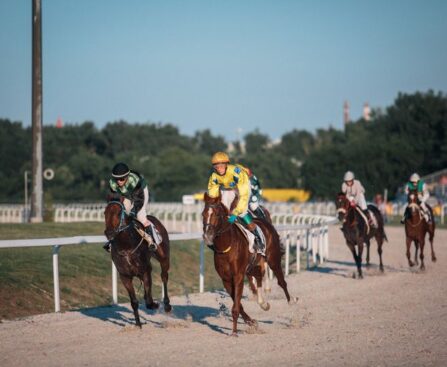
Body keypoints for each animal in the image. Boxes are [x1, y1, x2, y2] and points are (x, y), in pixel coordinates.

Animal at [103, 197, 172, 330]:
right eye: (104, 213)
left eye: (118, 213)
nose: (109, 232)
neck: (126, 246)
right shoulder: (125, 276)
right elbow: (134, 302)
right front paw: (138, 324)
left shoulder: (145, 271)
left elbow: (149, 301)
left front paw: (155, 305)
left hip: (164, 258)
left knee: (164, 277)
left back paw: (166, 305)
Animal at [202, 194, 294, 338]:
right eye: (203, 214)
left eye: (216, 214)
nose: (207, 235)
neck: (226, 246)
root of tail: (265, 223)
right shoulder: (226, 279)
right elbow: (238, 304)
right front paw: (251, 322)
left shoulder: (238, 276)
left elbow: (236, 305)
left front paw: (234, 332)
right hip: (252, 266)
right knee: (259, 277)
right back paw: (263, 303)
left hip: (273, 259)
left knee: (281, 281)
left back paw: (291, 301)